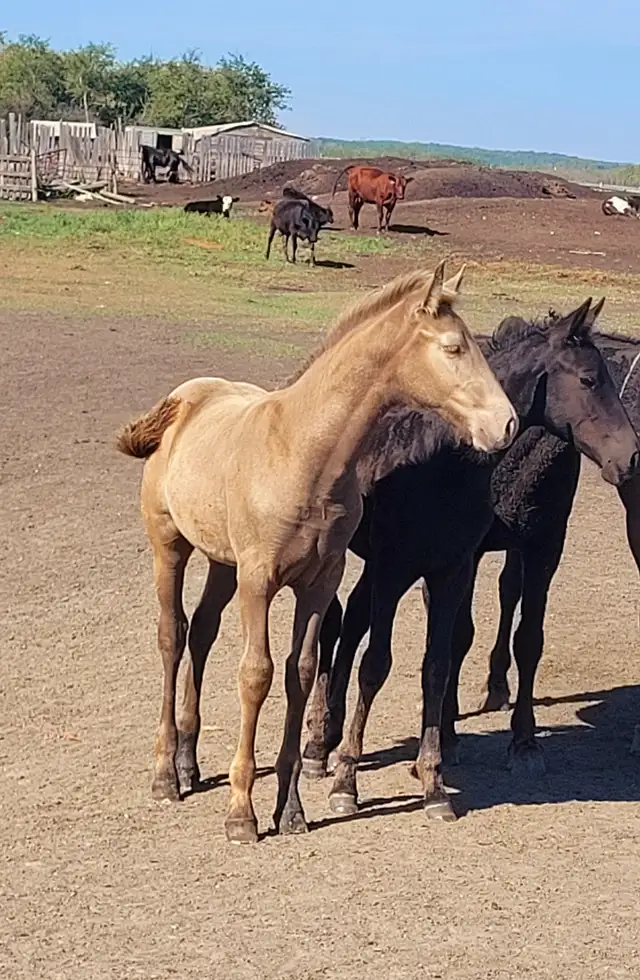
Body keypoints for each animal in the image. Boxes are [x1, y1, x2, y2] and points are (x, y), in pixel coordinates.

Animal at [116, 263, 517, 843]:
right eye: (453, 348)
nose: (505, 424)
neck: (304, 453)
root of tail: (185, 398)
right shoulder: (258, 580)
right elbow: (256, 674)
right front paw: (242, 812)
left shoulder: (319, 581)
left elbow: (301, 673)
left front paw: (291, 809)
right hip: (170, 546)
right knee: (172, 635)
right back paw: (167, 774)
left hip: (221, 562)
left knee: (202, 631)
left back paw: (190, 763)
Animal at [300, 299, 640, 822]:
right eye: (588, 379)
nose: (631, 458)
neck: (441, 459)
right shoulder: (398, 569)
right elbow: (377, 664)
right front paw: (347, 783)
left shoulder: (459, 566)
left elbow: (443, 663)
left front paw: (437, 781)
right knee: (335, 626)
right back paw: (319, 745)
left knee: (352, 620)